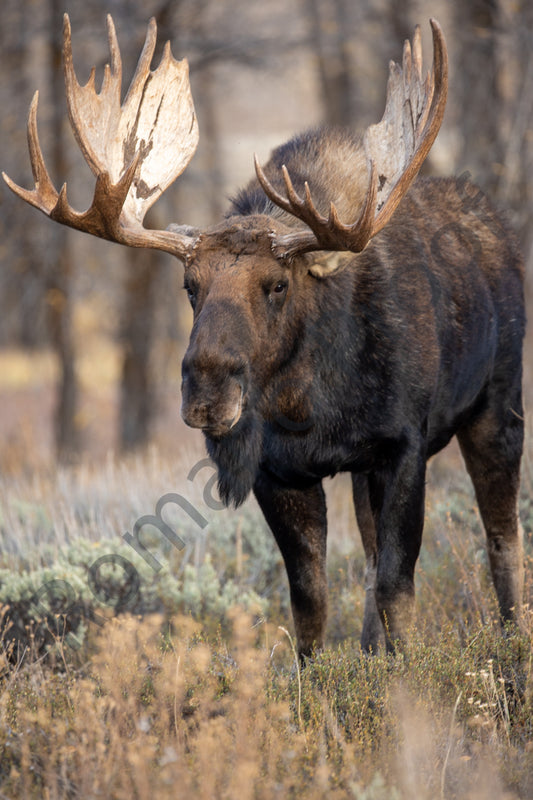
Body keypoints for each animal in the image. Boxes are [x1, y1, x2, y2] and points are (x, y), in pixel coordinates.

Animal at [3, 15, 524, 660]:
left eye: (277, 284)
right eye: (190, 285)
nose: (206, 389)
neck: (313, 402)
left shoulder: (403, 447)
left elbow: (397, 587)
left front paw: (404, 675)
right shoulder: (280, 473)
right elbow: (312, 600)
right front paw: (329, 675)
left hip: (497, 406)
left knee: (502, 537)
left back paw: (514, 642)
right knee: (372, 554)